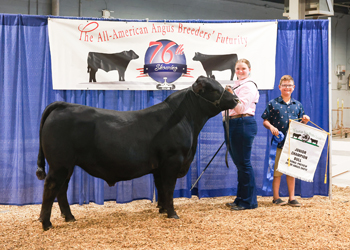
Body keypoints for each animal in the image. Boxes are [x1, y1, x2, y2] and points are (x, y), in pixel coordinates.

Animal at [35, 75, 239, 229]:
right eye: (214, 89)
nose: (236, 99)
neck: (187, 121)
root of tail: (64, 105)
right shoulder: (172, 160)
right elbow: (169, 188)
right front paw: (172, 214)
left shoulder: (159, 166)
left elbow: (161, 188)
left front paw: (162, 210)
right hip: (59, 164)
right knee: (51, 187)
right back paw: (46, 223)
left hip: (67, 165)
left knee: (62, 189)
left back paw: (69, 217)